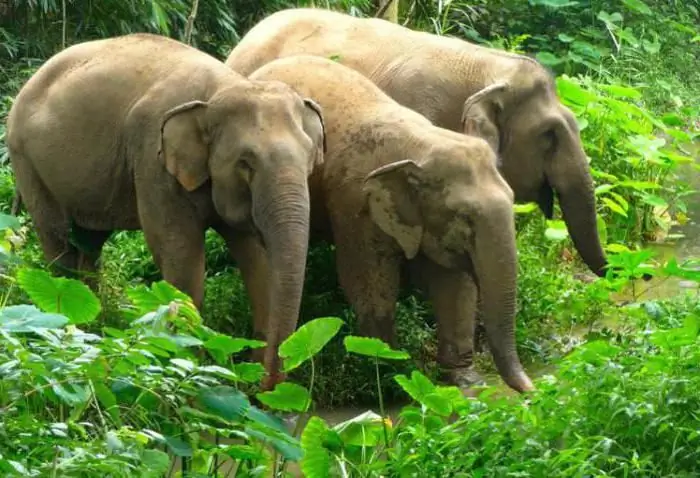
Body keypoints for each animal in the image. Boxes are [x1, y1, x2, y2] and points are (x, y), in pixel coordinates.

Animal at [5, 33, 328, 392]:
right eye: (246, 163)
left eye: (310, 158)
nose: (266, 387)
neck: (224, 87)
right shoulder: (152, 158)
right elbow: (180, 256)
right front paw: (186, 367)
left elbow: (256, 259)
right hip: (26, 159)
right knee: (58, 242)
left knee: (89, 243)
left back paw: (92, 328)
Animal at [243, 54, 532, 394]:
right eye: (465, 216)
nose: (532, 390)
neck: (423, 144)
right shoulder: (355, 200)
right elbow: (367, 277)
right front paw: (387, 367)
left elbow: (453, 283)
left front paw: (464, 382)